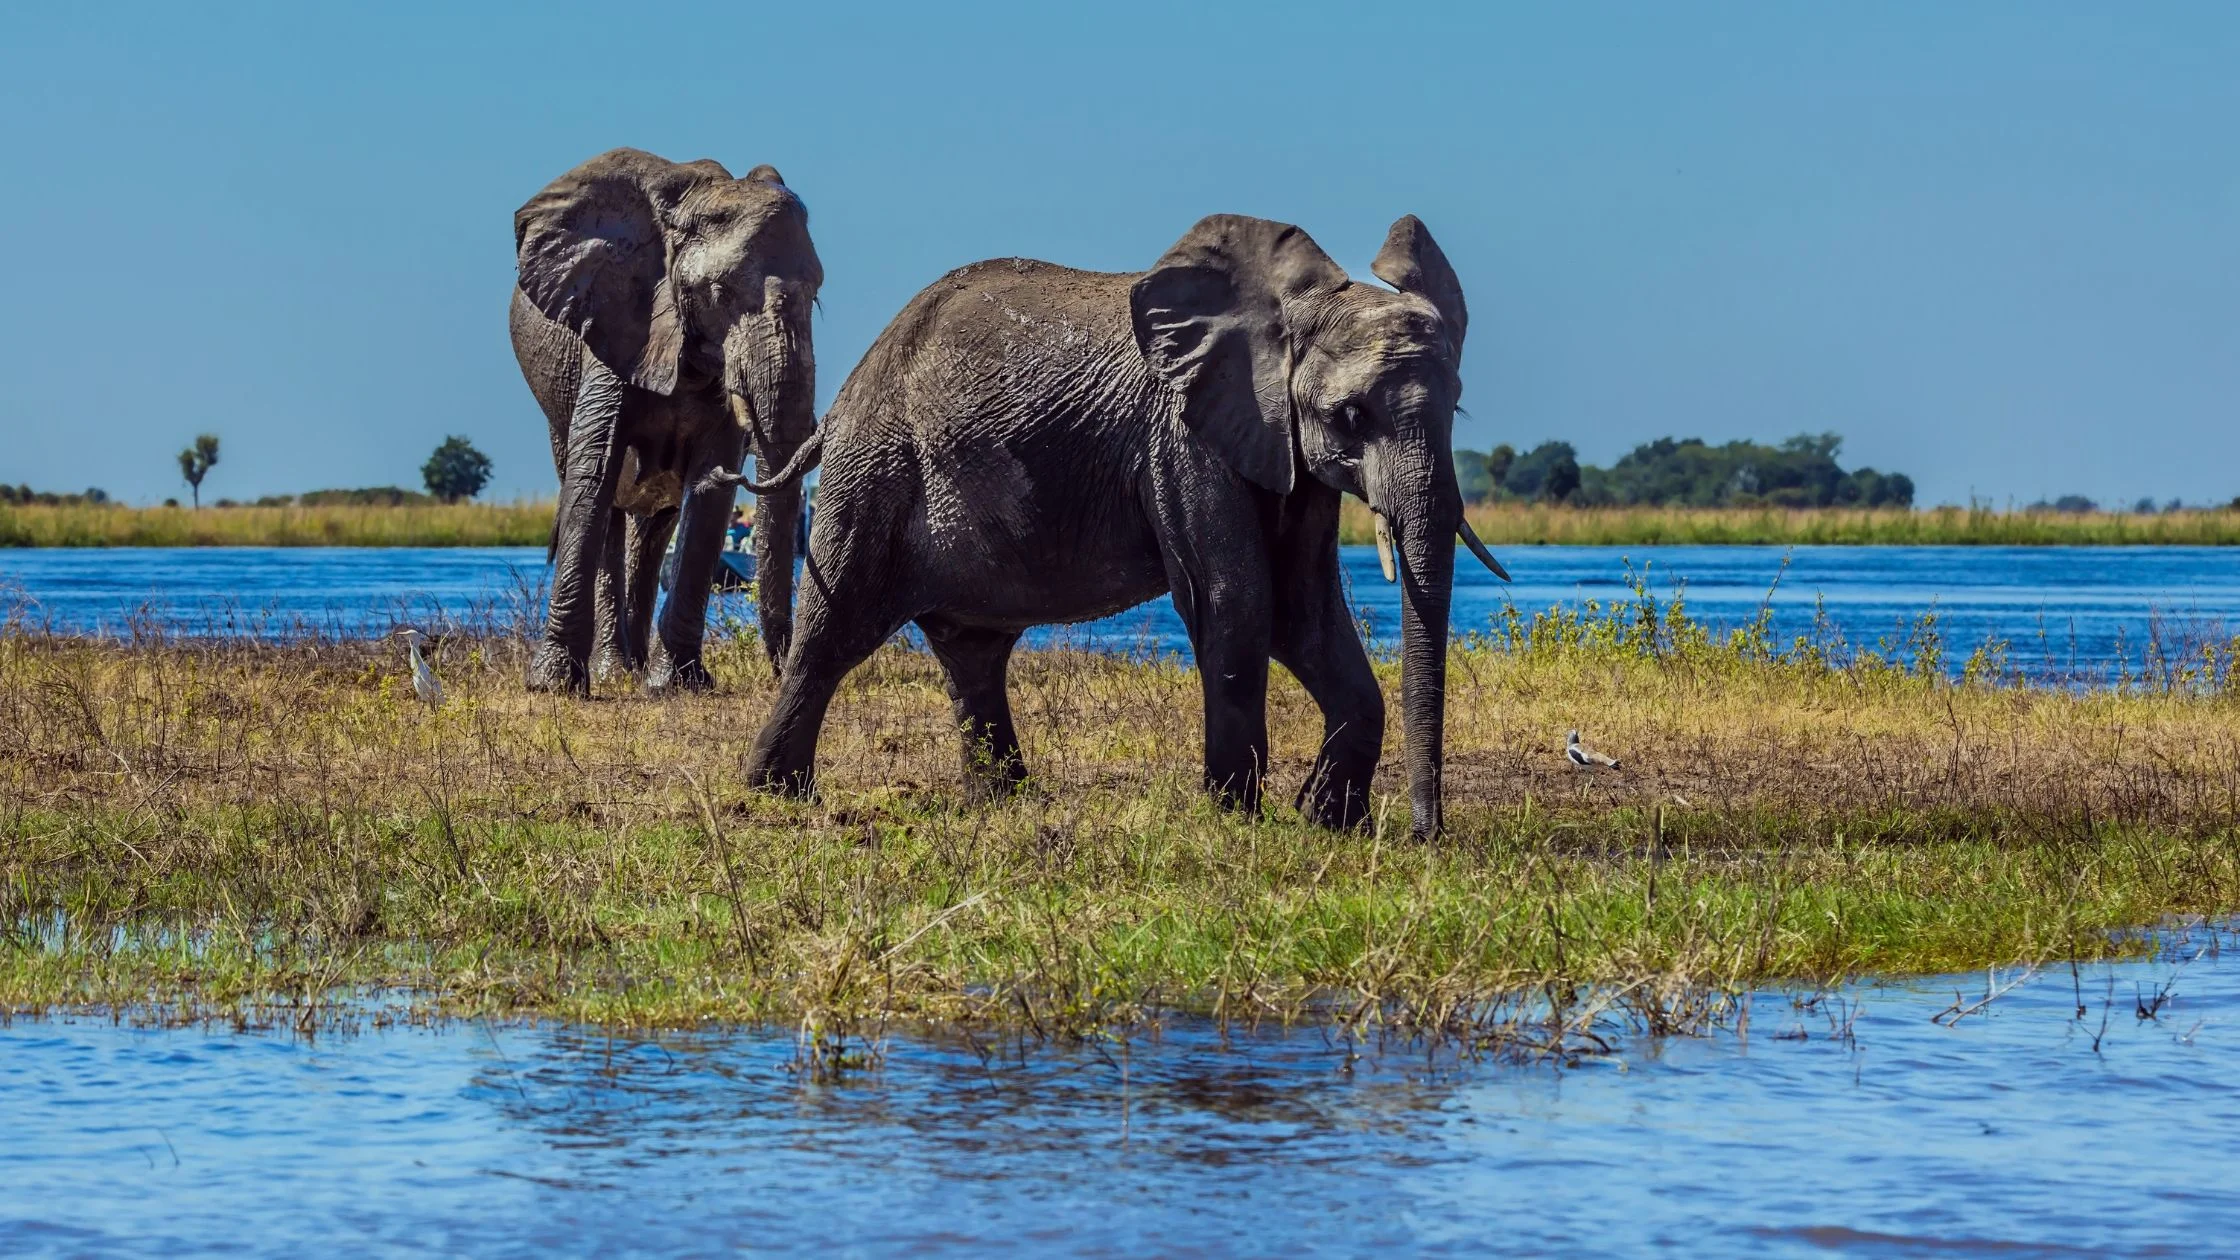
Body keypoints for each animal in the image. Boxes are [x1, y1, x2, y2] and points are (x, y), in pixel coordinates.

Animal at [508, 153, 824, 695]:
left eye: (817, 294)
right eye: (720, 291)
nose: (782, 672)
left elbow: (708, 496)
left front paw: (676, 685)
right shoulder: (614, 324)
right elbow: (593, 475)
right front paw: (552, 686)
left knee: (656, 526)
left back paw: (635, 669)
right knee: (606, 504)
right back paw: (616, 672)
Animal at [734, 211, 1505, 838]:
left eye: (1458, 408)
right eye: (1350, 415)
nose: (1426, 834)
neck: (1293, 311)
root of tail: (842, 401)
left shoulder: (1286, 452)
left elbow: (1304, 611)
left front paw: (1327, 819)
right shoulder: (1182, 435)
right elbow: (1238, 598)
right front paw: (1235, 816)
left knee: (973, 652)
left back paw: (1005, 799)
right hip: (875, 470)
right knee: (833, 632)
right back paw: (775, 795)